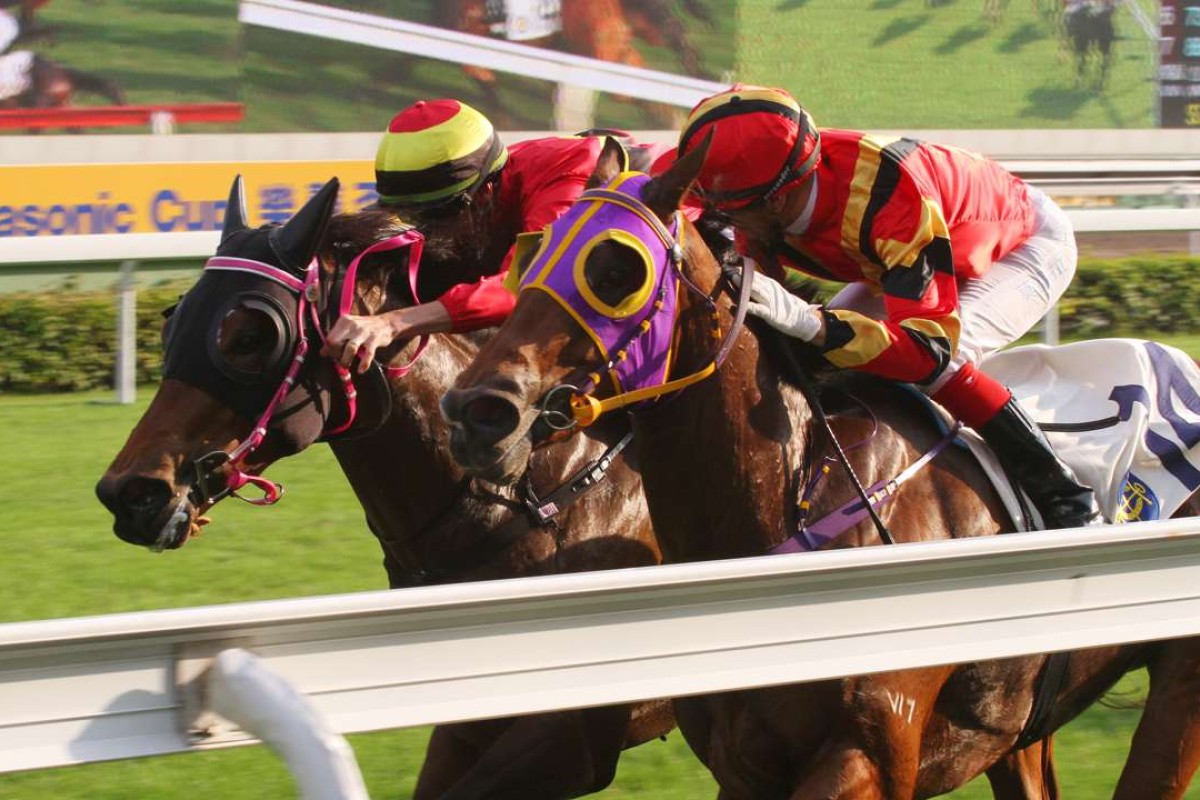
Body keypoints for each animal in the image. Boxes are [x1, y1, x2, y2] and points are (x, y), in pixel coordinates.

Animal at [93, 176, 676, 800]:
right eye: (171, 323)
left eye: (250, 337)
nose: (130, 492)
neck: (527, 498)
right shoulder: (467, 722)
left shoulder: (571, 735)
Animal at [441, 140, 1200, 796]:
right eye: (531, 252)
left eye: (616, 270)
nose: (479, 411)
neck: (797, 499)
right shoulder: (741, 768)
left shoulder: (865, 760)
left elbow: (927, 339)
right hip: (1018, 727)